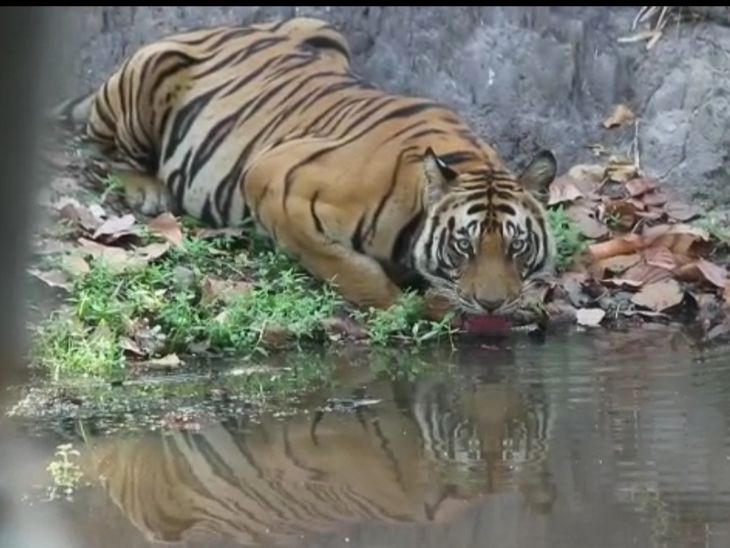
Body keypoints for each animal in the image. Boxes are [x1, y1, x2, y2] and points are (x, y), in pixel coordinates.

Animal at [51, 16, 558, 320]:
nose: (491, 305)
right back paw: (146, 188)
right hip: (149, 73)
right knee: (103, 148)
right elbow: (345, 266)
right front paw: (402, 306)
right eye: (463, 246)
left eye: (516, 247)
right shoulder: (274, 182)